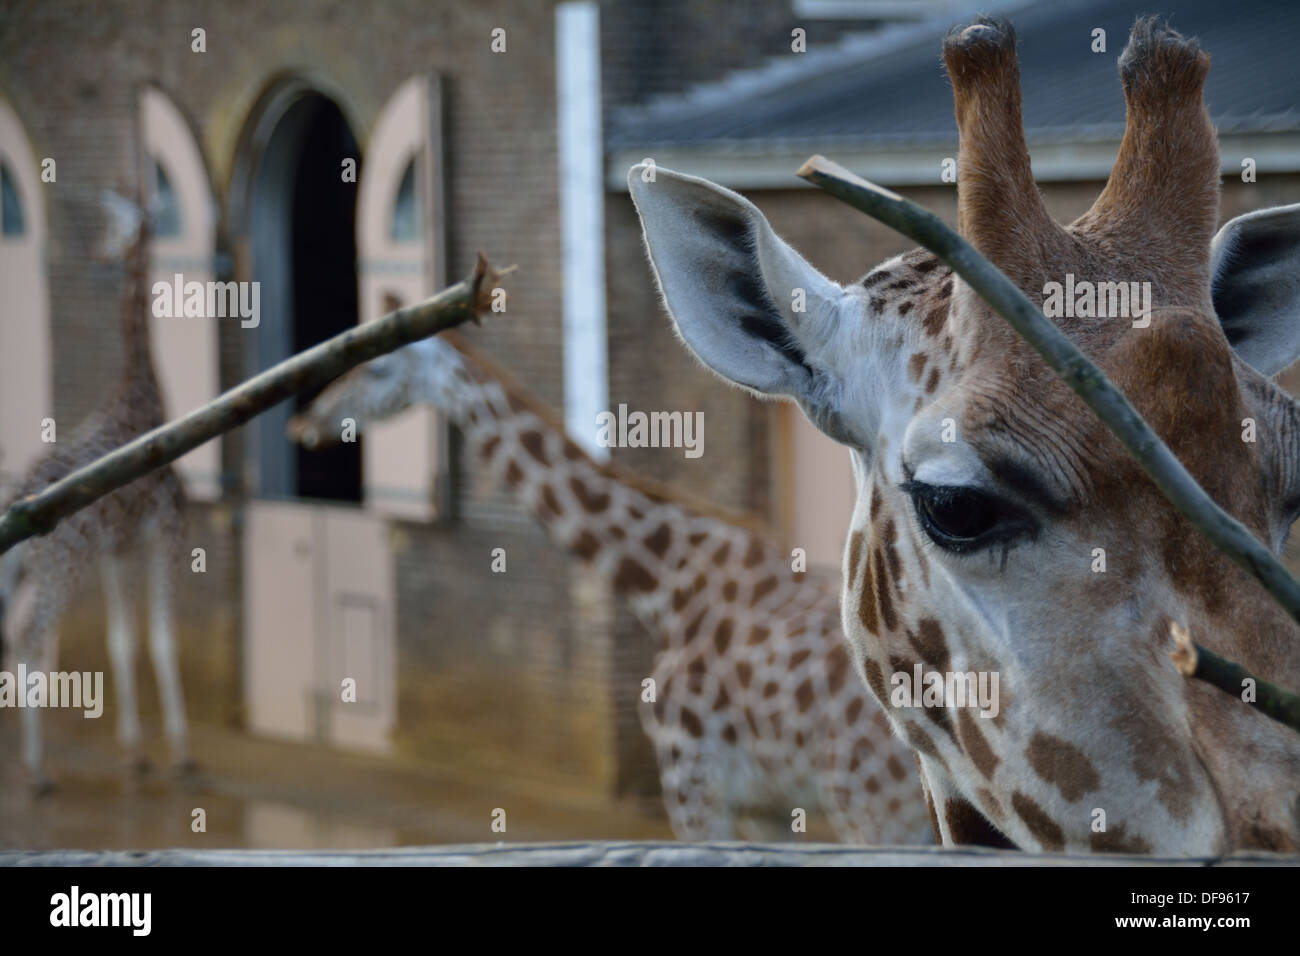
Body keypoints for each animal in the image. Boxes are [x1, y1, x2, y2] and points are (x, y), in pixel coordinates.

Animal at [1, 207, 191, 791]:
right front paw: (181, 753)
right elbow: (161, 636)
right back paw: (38, 771)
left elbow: (122, 641)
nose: (94, 253)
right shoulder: (168, 529)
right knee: (29, 638)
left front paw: (135, 753)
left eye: (113, 224)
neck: (145, 398)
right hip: (60, 566)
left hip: (18, 570)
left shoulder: (120, 549)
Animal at [286, 331, 932, 844]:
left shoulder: (692, 779)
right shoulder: (765, 803)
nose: (306, 423)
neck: (662, 580)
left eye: (377, 369)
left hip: (872, 806)